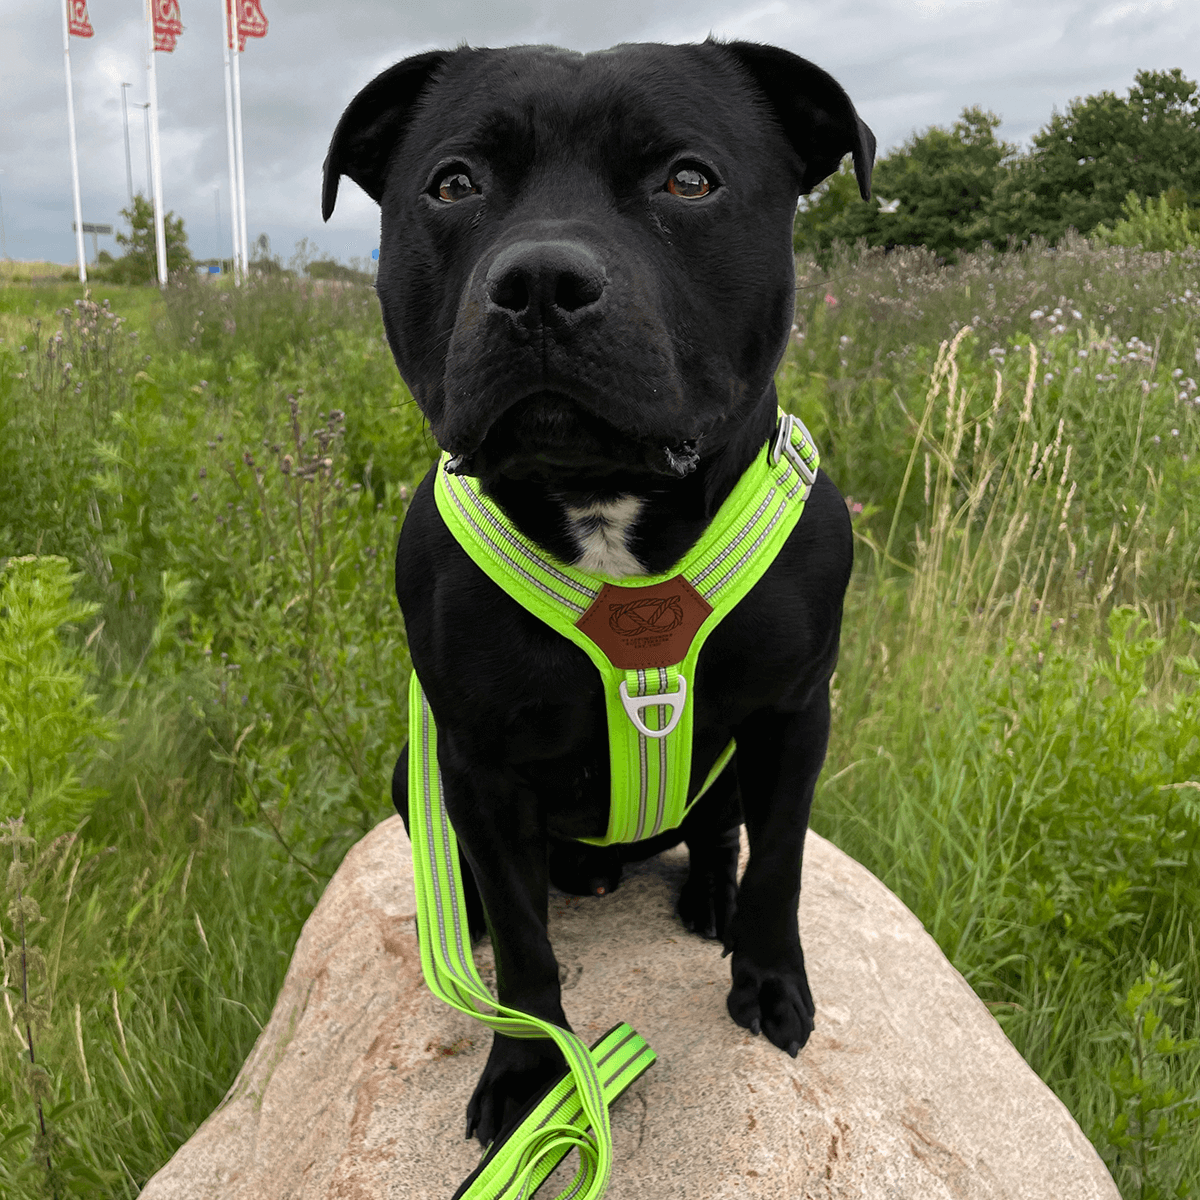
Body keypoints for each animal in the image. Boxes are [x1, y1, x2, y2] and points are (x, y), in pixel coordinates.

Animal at [324, 35, 878, 1142]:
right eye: (455, 183)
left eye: (689, 179)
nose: (540, 278)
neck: (605, 508)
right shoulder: (479, 764)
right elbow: (528, 951)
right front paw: (530, 1074)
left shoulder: (797, 714)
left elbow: (782, 866)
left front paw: (770, 987)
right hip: (420, 773)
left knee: (717, 830)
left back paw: (708, 896)